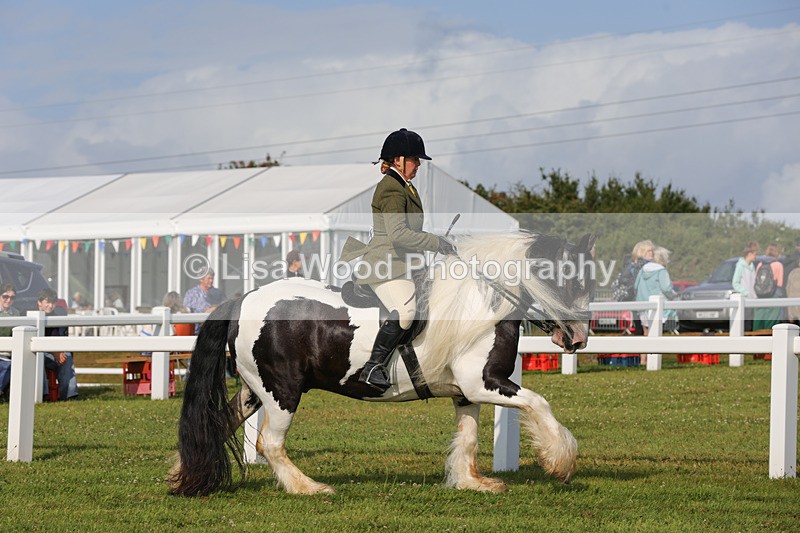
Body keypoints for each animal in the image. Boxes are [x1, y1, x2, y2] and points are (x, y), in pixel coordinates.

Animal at [168, 231, 597, 496]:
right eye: (572, 281)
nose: (577, 339)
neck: (481, 300)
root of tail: (241, 299)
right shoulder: (484, 382)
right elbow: (539, 403)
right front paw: (559, 462)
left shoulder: (466, 391)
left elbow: (469, 437)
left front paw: (471, 482)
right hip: (282, 392)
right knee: (270, 443)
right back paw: (309, 488)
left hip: (255, 390)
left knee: (221, 422)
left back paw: (184, 473)